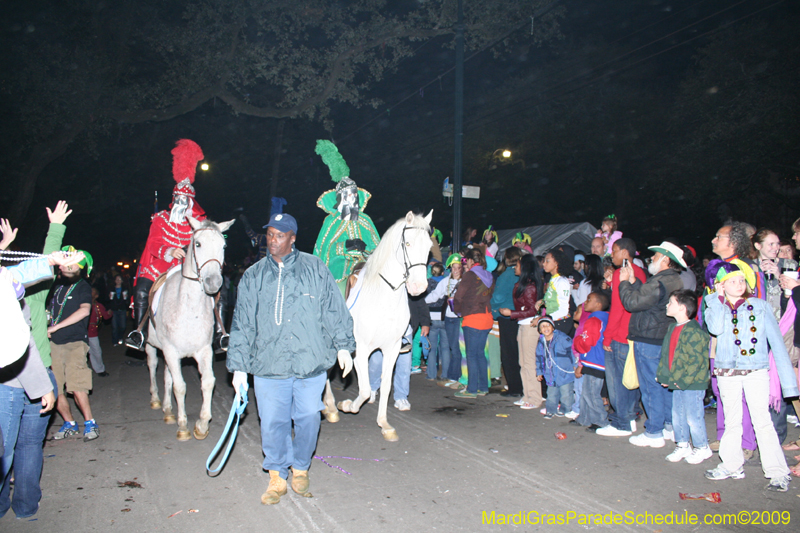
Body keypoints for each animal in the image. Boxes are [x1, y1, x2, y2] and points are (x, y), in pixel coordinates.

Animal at [146, 216, 234, 440]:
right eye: (198, 244)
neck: (189, 309)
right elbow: (180, 386)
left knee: (167, 375)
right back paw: (156, 401)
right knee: (153, 366)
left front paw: (202, 425)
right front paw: (183, 426)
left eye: (223, 246)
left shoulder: (203, 350)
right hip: (152, 346)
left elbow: (208, 382)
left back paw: (168, 410)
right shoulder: (171, 350)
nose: (213, 282)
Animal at [320, 210, 432, 438]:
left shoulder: (392, 348)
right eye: (407, 243)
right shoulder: (361, 350)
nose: (418, 287)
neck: (382, 297)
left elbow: (386, 384)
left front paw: (384, 424)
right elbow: (363, 390)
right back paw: (331, 406)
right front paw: (347, 405)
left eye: (429, 247)